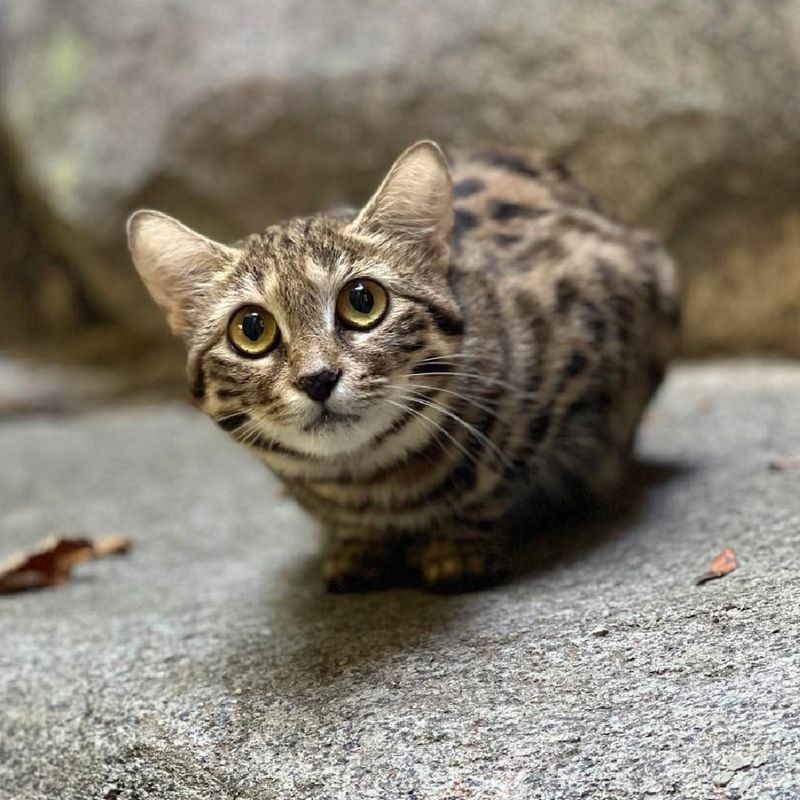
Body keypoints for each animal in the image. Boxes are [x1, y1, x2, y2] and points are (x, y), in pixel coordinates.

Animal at [128, 141, 680, 592]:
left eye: (362, 300)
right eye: (251, 329)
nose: (318, 378)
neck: (373, 481)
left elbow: (496, 482)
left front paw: (459, 547)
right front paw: (358, 546)